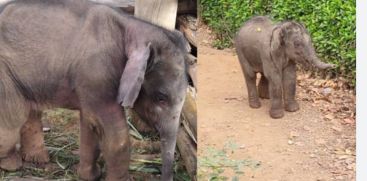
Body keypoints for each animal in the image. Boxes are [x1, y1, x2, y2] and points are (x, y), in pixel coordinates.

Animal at [0, 0, 190, 181]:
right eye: (161, 98)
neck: (130, 26)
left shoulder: (91, 82)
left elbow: (90, 122)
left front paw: (90, 176)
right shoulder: (97, 73)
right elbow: (113, 128)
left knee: (30, 112)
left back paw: (37, 159)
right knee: (14, 116)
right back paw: (11, 165)